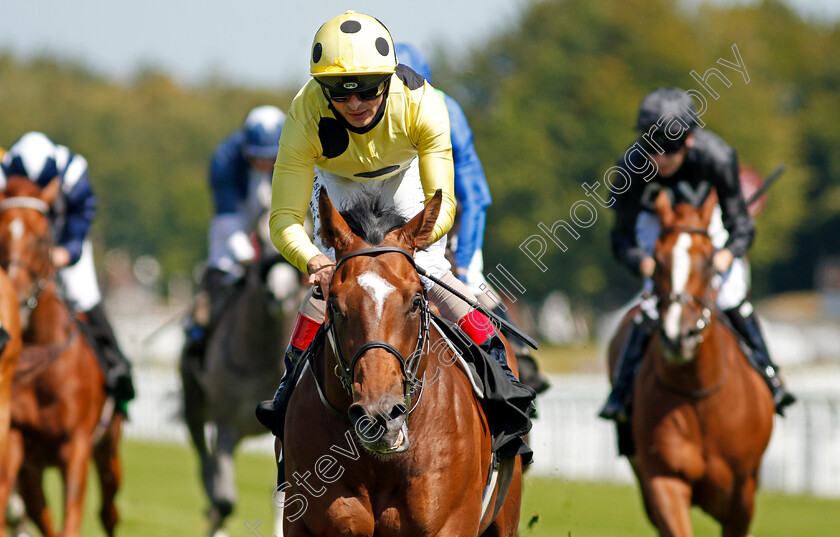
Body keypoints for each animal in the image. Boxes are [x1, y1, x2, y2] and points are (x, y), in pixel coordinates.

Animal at [0, 177, 123, 536]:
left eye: (42, 237)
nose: (15, 297)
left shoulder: (77, 446)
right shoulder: (16, 441)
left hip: (108, 446)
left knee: (109, 510)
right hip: (34, 469)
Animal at [179, 251, 296, 536]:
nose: (280, 294)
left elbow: (281, 491)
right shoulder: (226, 425)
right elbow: (224, 500)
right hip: (192, 406)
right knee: (206, 466)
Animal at [604, 191, 776, 532]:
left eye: (708, 260)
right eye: (657, 260)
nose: (677, 335)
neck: (700, 397)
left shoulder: (742, 494)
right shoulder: (663, 480)